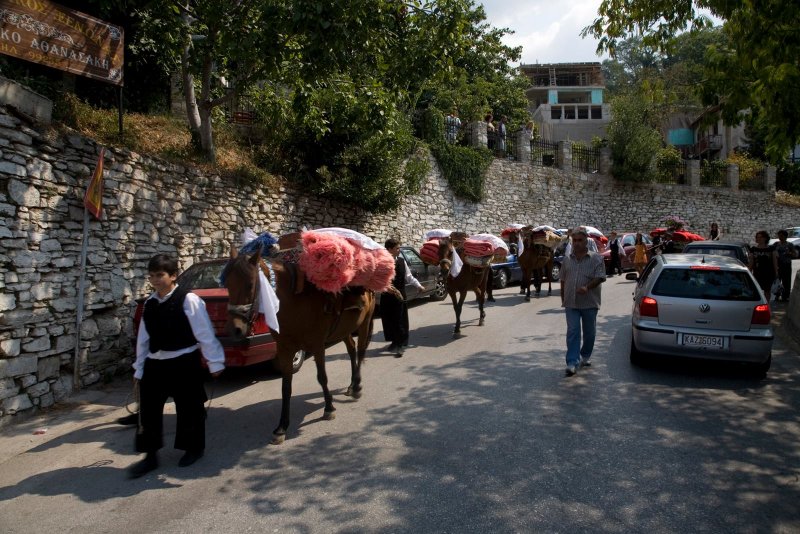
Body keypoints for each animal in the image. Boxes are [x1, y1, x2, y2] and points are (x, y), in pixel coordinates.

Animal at [223, 241, 376, 446]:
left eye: (250, 285)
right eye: (226, 284)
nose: (236, 329)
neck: (294, 302)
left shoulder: (317, 345)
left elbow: (322, 377)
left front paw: (329, 408)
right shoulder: (284, 350)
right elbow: (285, 387)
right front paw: (281, 427)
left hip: (365, 322)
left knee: (360, 351)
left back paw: (357, 387)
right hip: (344, 330)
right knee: (352, 350)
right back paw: (351, 386)